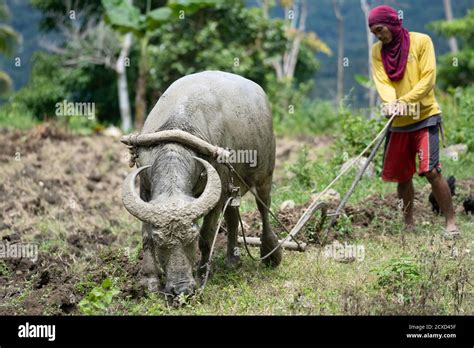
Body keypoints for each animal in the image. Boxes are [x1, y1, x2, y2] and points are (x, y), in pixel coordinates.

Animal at [120, 71, 282, 296]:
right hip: (233, 186)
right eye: (162, 242)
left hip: (265, 174)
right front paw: (150, 280)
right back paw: (232, 260)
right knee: (232, 215)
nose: (181, 290)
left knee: (263, 207)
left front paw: (202, 273)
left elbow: (208, 235)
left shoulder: (218, 191)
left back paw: (271, 252)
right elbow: (145, 236)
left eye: (192, 239)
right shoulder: (145, 190)